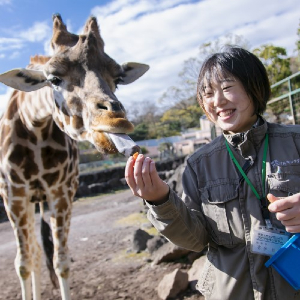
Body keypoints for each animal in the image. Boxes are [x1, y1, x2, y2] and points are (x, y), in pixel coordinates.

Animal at [0, 14, 149, 300]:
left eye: (118, 79)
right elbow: (23, 263)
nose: (116, 120)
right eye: (54, 78)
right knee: (32, 254)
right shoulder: (13, 193)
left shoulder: (63, 191)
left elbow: (62, 261)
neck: (34, 123)